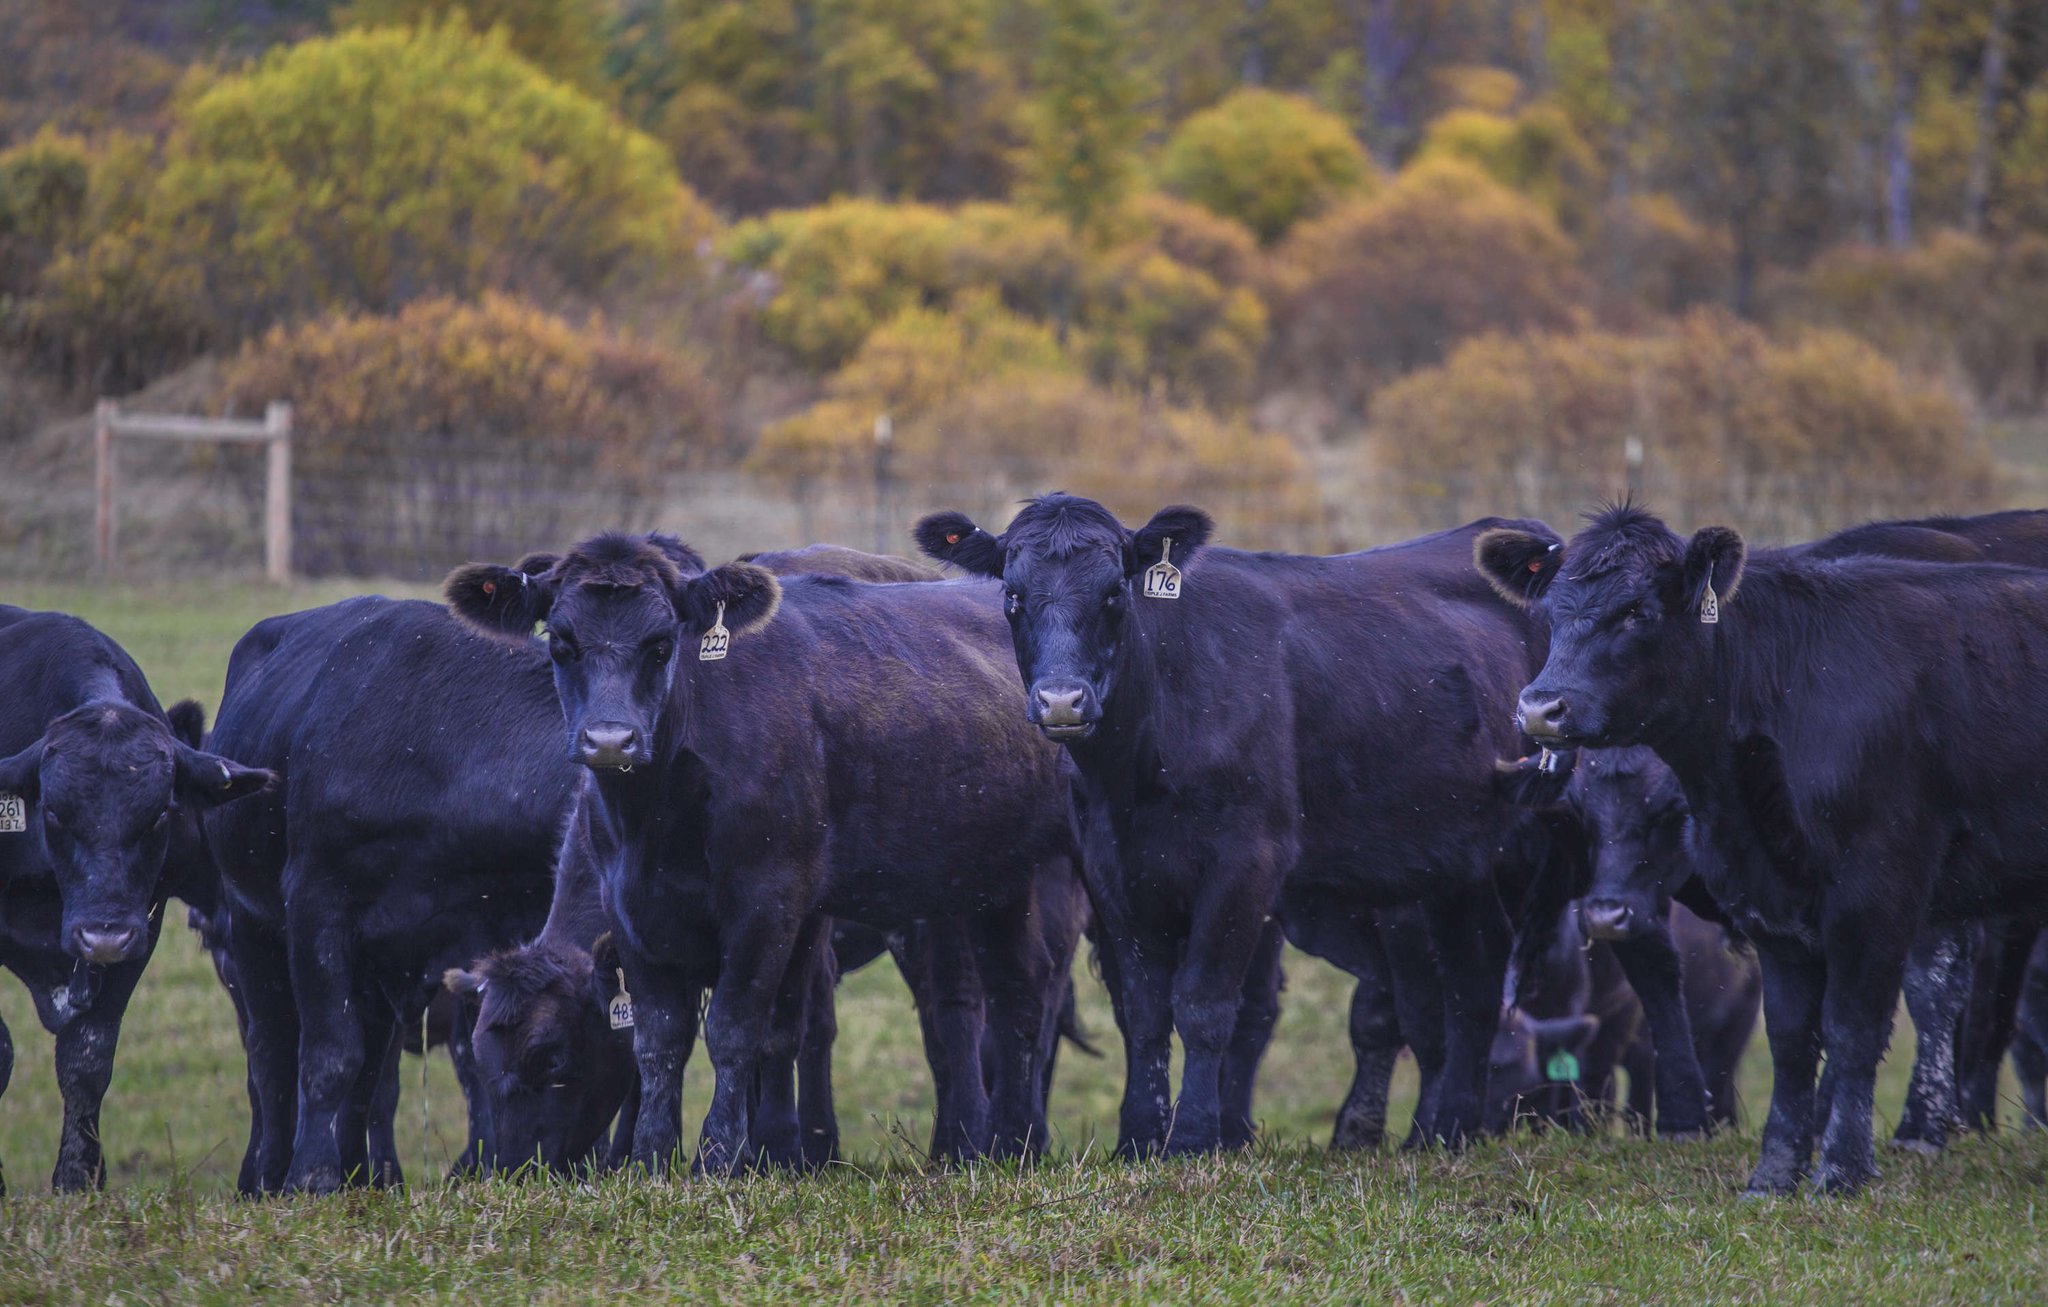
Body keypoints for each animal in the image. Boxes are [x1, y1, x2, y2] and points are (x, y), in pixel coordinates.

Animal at [0, 610, 270, 1196]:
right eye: (52, 811)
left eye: (161, 812)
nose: (101, 934)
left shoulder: (137, 934)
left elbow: (87, 1061)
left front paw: (78, 1180)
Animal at [202, 598, 577, 1196]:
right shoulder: (315, 905)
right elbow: (329, 1053)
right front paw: (309, 1177)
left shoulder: (489, 934)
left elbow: (466, 1061)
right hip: (251, 927)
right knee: (271, 1054)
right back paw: (264, 1175)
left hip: (376, 968)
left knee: (371, 1069)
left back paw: (360, 1173)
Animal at [446, 536, 1081, 1171]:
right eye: (560, 642)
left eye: (662, 643)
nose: (610, 740)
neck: (657, 819)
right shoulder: (630, 911)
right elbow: (662, 1038)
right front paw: (652, 1157)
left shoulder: (772, 901)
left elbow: (746, 1029)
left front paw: (736, 1154)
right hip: (989, 881)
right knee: (1010, 996)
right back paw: (1004, 1143)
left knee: (980, 1004)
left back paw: (991, 1142)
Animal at [921, 495, 1540, 1155]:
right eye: (1012, 594)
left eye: (1115, 591)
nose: (1062, 701)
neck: (1139, 772)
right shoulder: (1112, 868)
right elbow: (1144, 1012)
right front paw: (1139, 1137)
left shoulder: (1247, 862)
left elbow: (1204, 1005)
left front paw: (1193, 1135)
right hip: (1455, 860)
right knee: (1475, 971)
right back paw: (1444, 1130)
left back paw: (1447, 1126)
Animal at [1482, 503, 2048, 1196]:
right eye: (1551, 613)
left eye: (1638, 611)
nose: (1541, 708)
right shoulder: (1768, 902)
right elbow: (1789, 1036)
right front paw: (1775, 1172)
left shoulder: (1880, 887)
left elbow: (1862, 1024)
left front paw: (1844, 1165)